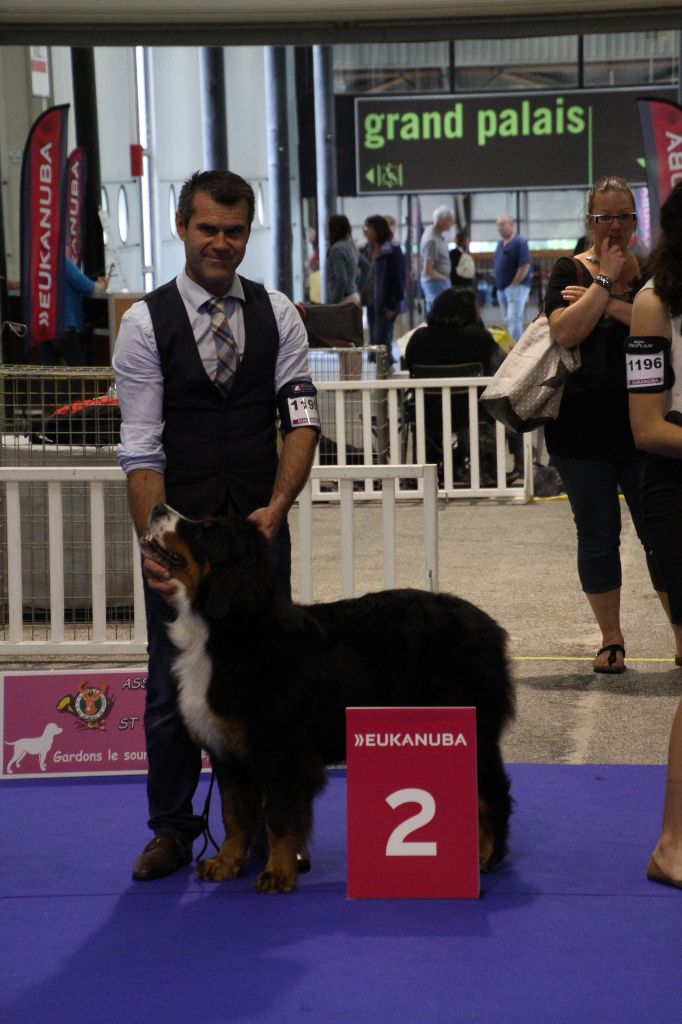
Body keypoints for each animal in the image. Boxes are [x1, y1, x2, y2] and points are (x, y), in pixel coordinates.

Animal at [144, 507, 516, 892]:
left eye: (204, 529)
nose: (158, 508)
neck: (230, 631)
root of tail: (489, 626)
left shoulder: (281, 752)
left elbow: (278, 818)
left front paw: (278, 872)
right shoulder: (229, 754)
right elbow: (234, 816)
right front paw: (225, 863)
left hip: (472, 729)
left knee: (493, 791)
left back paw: (487, 852)